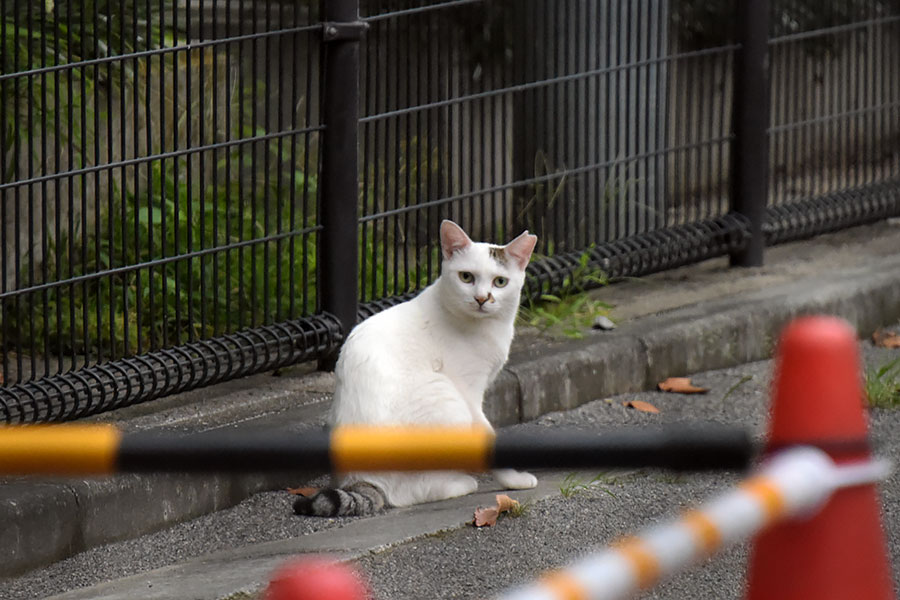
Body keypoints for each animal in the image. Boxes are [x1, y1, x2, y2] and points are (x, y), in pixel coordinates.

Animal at [296, 220, 536, 516]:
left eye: (500, 282)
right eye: (466, 277)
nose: (481, 298)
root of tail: (361, 481)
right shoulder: (469, 394)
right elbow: (486, 436)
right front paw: (515, 480)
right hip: (448, 401)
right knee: (410, 493)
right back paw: (460, 483)